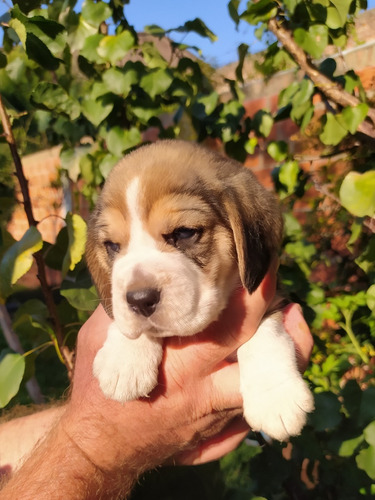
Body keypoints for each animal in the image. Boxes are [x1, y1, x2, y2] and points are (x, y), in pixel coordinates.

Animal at [86, 141, 314, 442]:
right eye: (112, 246)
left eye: (184, 233)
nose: (139, 300)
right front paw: (125, 358)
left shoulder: (272, 297)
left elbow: (265, 335)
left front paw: (275, 398)